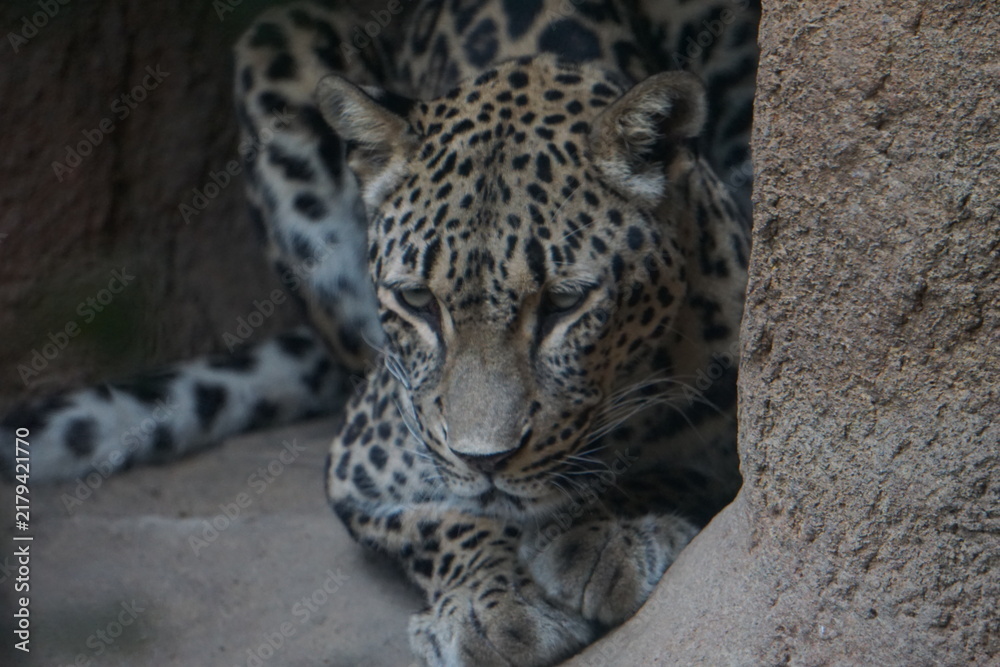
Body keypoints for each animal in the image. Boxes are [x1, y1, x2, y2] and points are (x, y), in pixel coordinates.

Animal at [1, 0, 758, 665]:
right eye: (417, 301)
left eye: (564, 304)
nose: (484, 460)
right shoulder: (358, 461)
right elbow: (439, 523)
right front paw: (491, 606)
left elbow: (675, 471)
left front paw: (598, 536)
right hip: (274, 46)